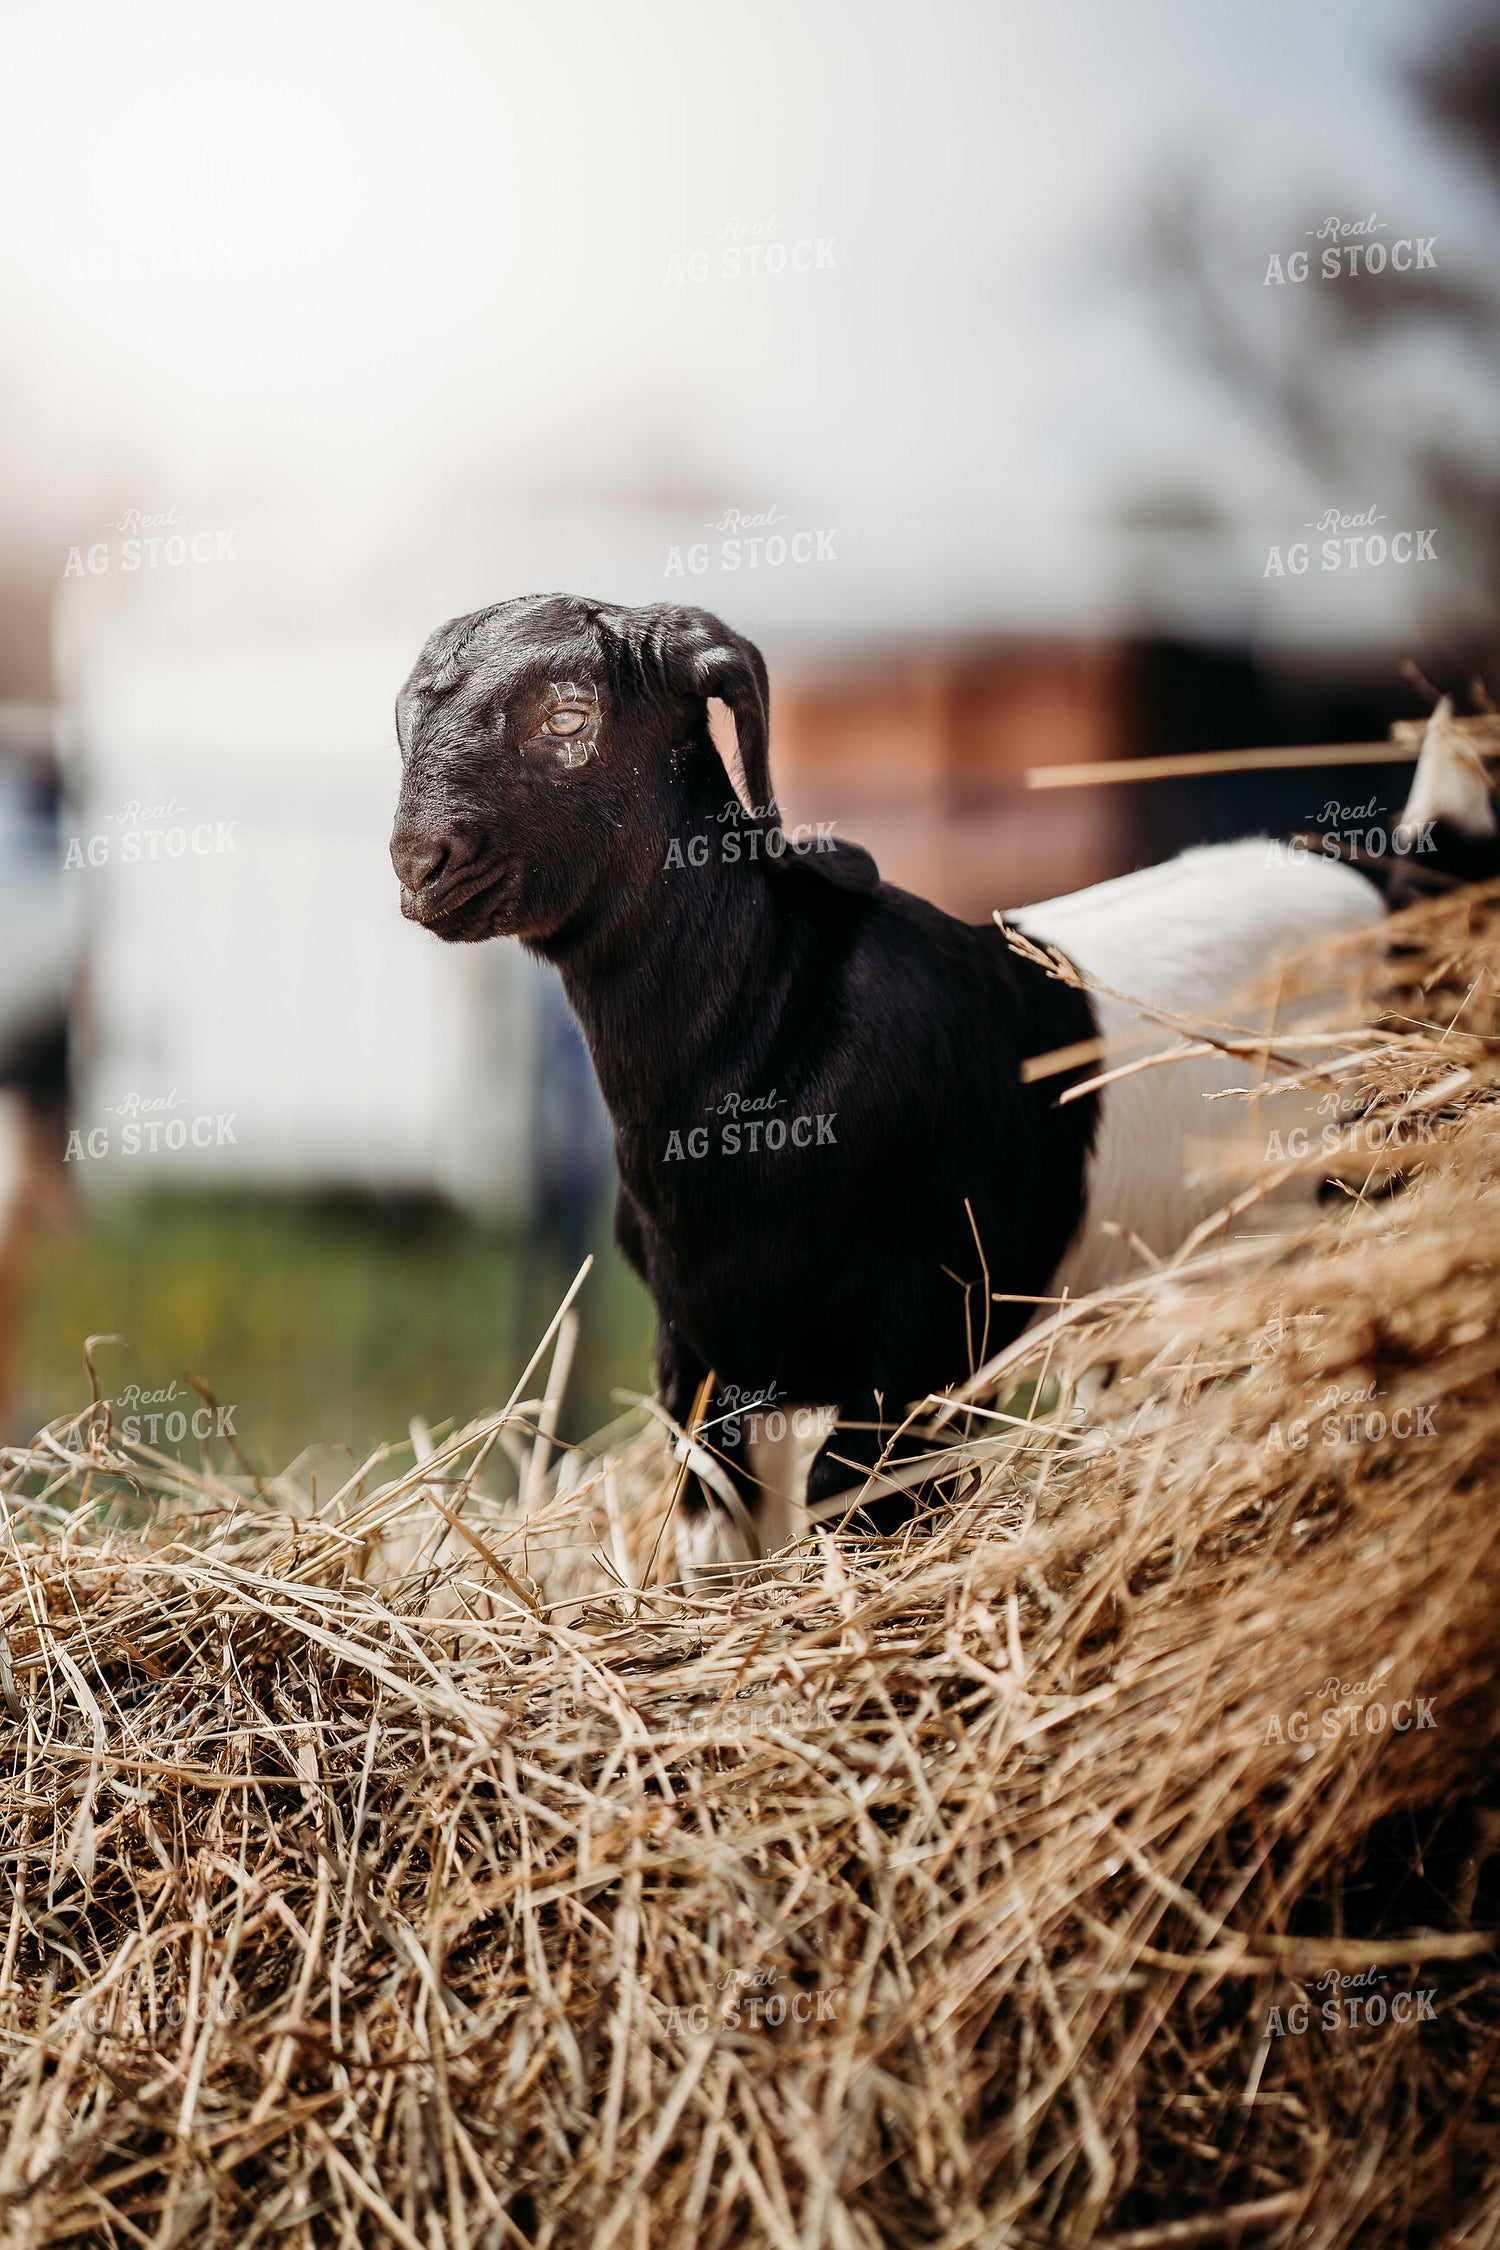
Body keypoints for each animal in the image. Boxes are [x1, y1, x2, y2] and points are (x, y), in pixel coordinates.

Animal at [389, 596, 1496, 1559]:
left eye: (569, 718)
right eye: (407, 721)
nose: (417, 863)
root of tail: (1400, 887)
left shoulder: (929, 1343)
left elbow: (853, 1503)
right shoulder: (701, 1359)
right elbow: (726, 1537)